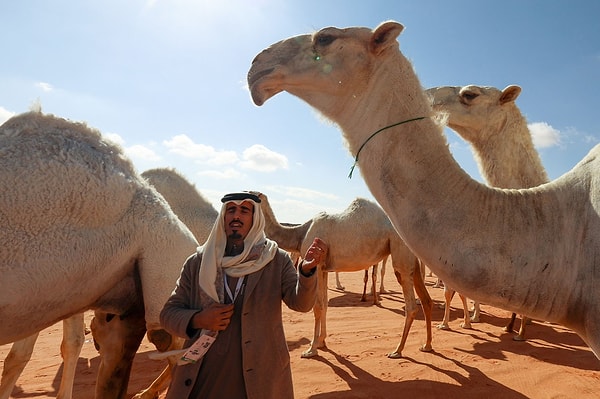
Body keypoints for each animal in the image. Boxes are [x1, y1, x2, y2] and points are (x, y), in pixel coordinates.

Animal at [253, 193, 432, 360]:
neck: (300, 233)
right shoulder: (324, 269)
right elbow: (325, 304)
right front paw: (322, 341)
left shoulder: (316, 265)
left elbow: (318, 307)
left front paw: (311, 349)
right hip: (412, 257)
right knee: (426, 299)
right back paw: (427, 345)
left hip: (400, 251)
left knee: (411, 305)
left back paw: (397, 350)